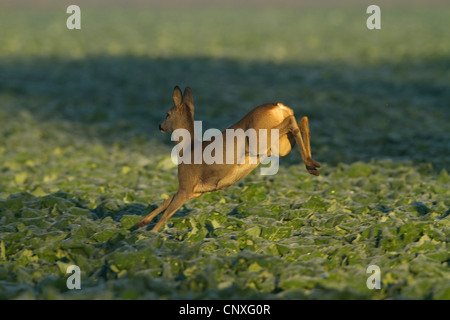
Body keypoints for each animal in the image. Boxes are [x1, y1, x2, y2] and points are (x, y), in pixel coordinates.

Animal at [137, 86, 320, 231]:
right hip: (281, 146)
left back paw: (311, 164)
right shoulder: (195, 192)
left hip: (260, 141)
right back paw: (312, 166)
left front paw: (150, 235)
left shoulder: (186, 185)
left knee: (292, 121)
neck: (187, 149)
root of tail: (279, 107)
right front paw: (141, 223)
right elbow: (167, 200)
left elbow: (166, 213)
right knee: (302, 120)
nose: (160, 126)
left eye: (167, 114)